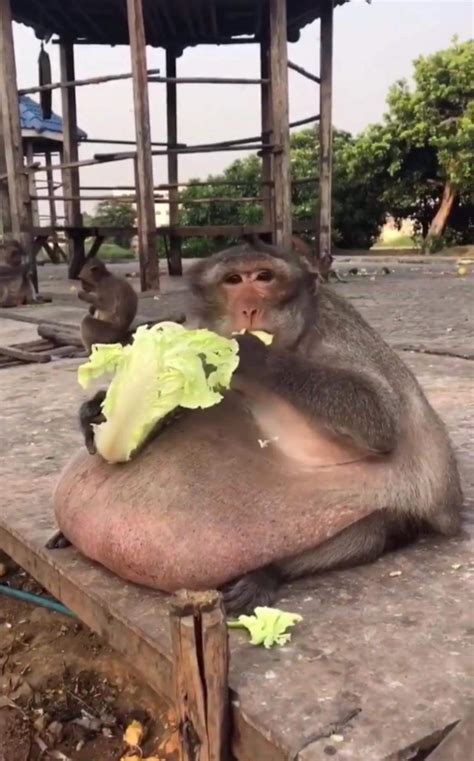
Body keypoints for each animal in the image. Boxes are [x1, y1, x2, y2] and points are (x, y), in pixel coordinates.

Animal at [49, 238, 463, 615]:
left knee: (377, 527)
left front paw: (251, 352)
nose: (249, 307)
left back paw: (268, 572)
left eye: (264, 277)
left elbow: (379, 418)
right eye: (233, 280)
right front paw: (97, 409)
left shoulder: (334, 333)